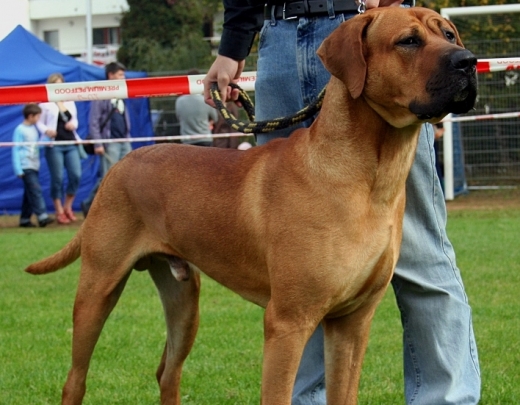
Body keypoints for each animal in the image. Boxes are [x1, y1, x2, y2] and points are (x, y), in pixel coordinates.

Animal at [27, 7, 476, 404]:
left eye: (449, 35)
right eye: (408, 41)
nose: (468, 62)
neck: (371, 177)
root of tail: (119, 165)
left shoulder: (352, 323)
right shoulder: (288, 322)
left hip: (183, 299)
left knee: (167, 372)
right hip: (97, 290)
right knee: (75, 380)